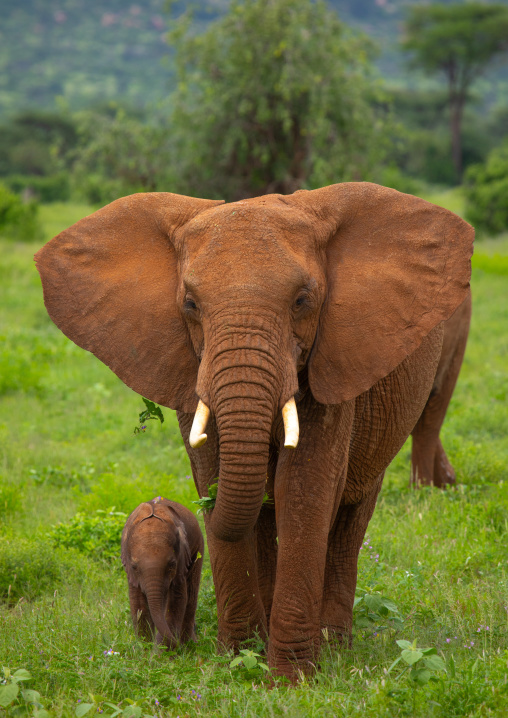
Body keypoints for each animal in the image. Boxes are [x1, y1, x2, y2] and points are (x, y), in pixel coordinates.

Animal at [121, 497, 204, 647]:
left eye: (172, 565)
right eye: (134, 567)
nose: (177, 645)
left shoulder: (181, 561)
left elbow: (176, 601)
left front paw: (162, 652)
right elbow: (138, 603)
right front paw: (144, 649)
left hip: (198, 545)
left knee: (191, 593)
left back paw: (189, 645)